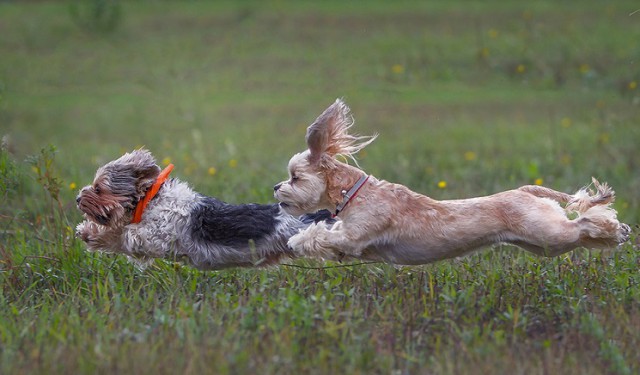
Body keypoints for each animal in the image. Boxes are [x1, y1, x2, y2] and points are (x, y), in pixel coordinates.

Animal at [76, 150, 330, 270]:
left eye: (98, 188)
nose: (78, 198)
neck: (151, 199)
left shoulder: (155, 237)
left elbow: (126, 233)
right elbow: (115, 236)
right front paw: (88, 232)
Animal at [274, 100, 632, 264]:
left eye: (295, 177)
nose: (276, 188)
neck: (354, 194)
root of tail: (525, 190)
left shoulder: (356, 235)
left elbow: (323, 235)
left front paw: (298, 241)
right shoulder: (355, 244)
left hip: (546, 232)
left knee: (582, 223)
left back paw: (616, 230)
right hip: (540, 244)